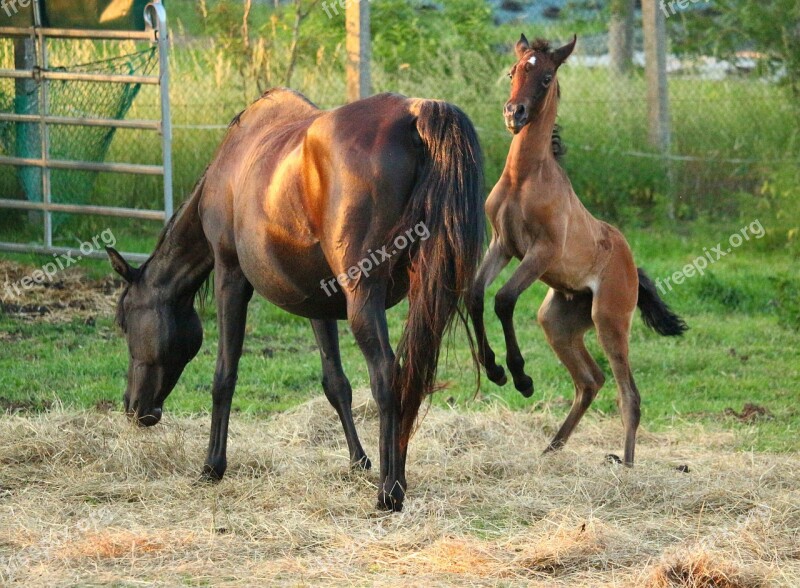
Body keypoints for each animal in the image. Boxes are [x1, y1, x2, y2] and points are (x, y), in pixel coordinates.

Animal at [468, 35, 688, 464]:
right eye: (513, 70)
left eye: (546, 76)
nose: (514, 113)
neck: (524, 178)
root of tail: (632, 266)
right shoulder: (502, 245)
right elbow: (474, 294)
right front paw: (495, 370)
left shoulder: (542, 253)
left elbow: (503, 299)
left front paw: (519, 377)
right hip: (557, 321)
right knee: (591, 380)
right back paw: (551, 448)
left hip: (609, 321)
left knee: (628, 395)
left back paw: (626, 466)